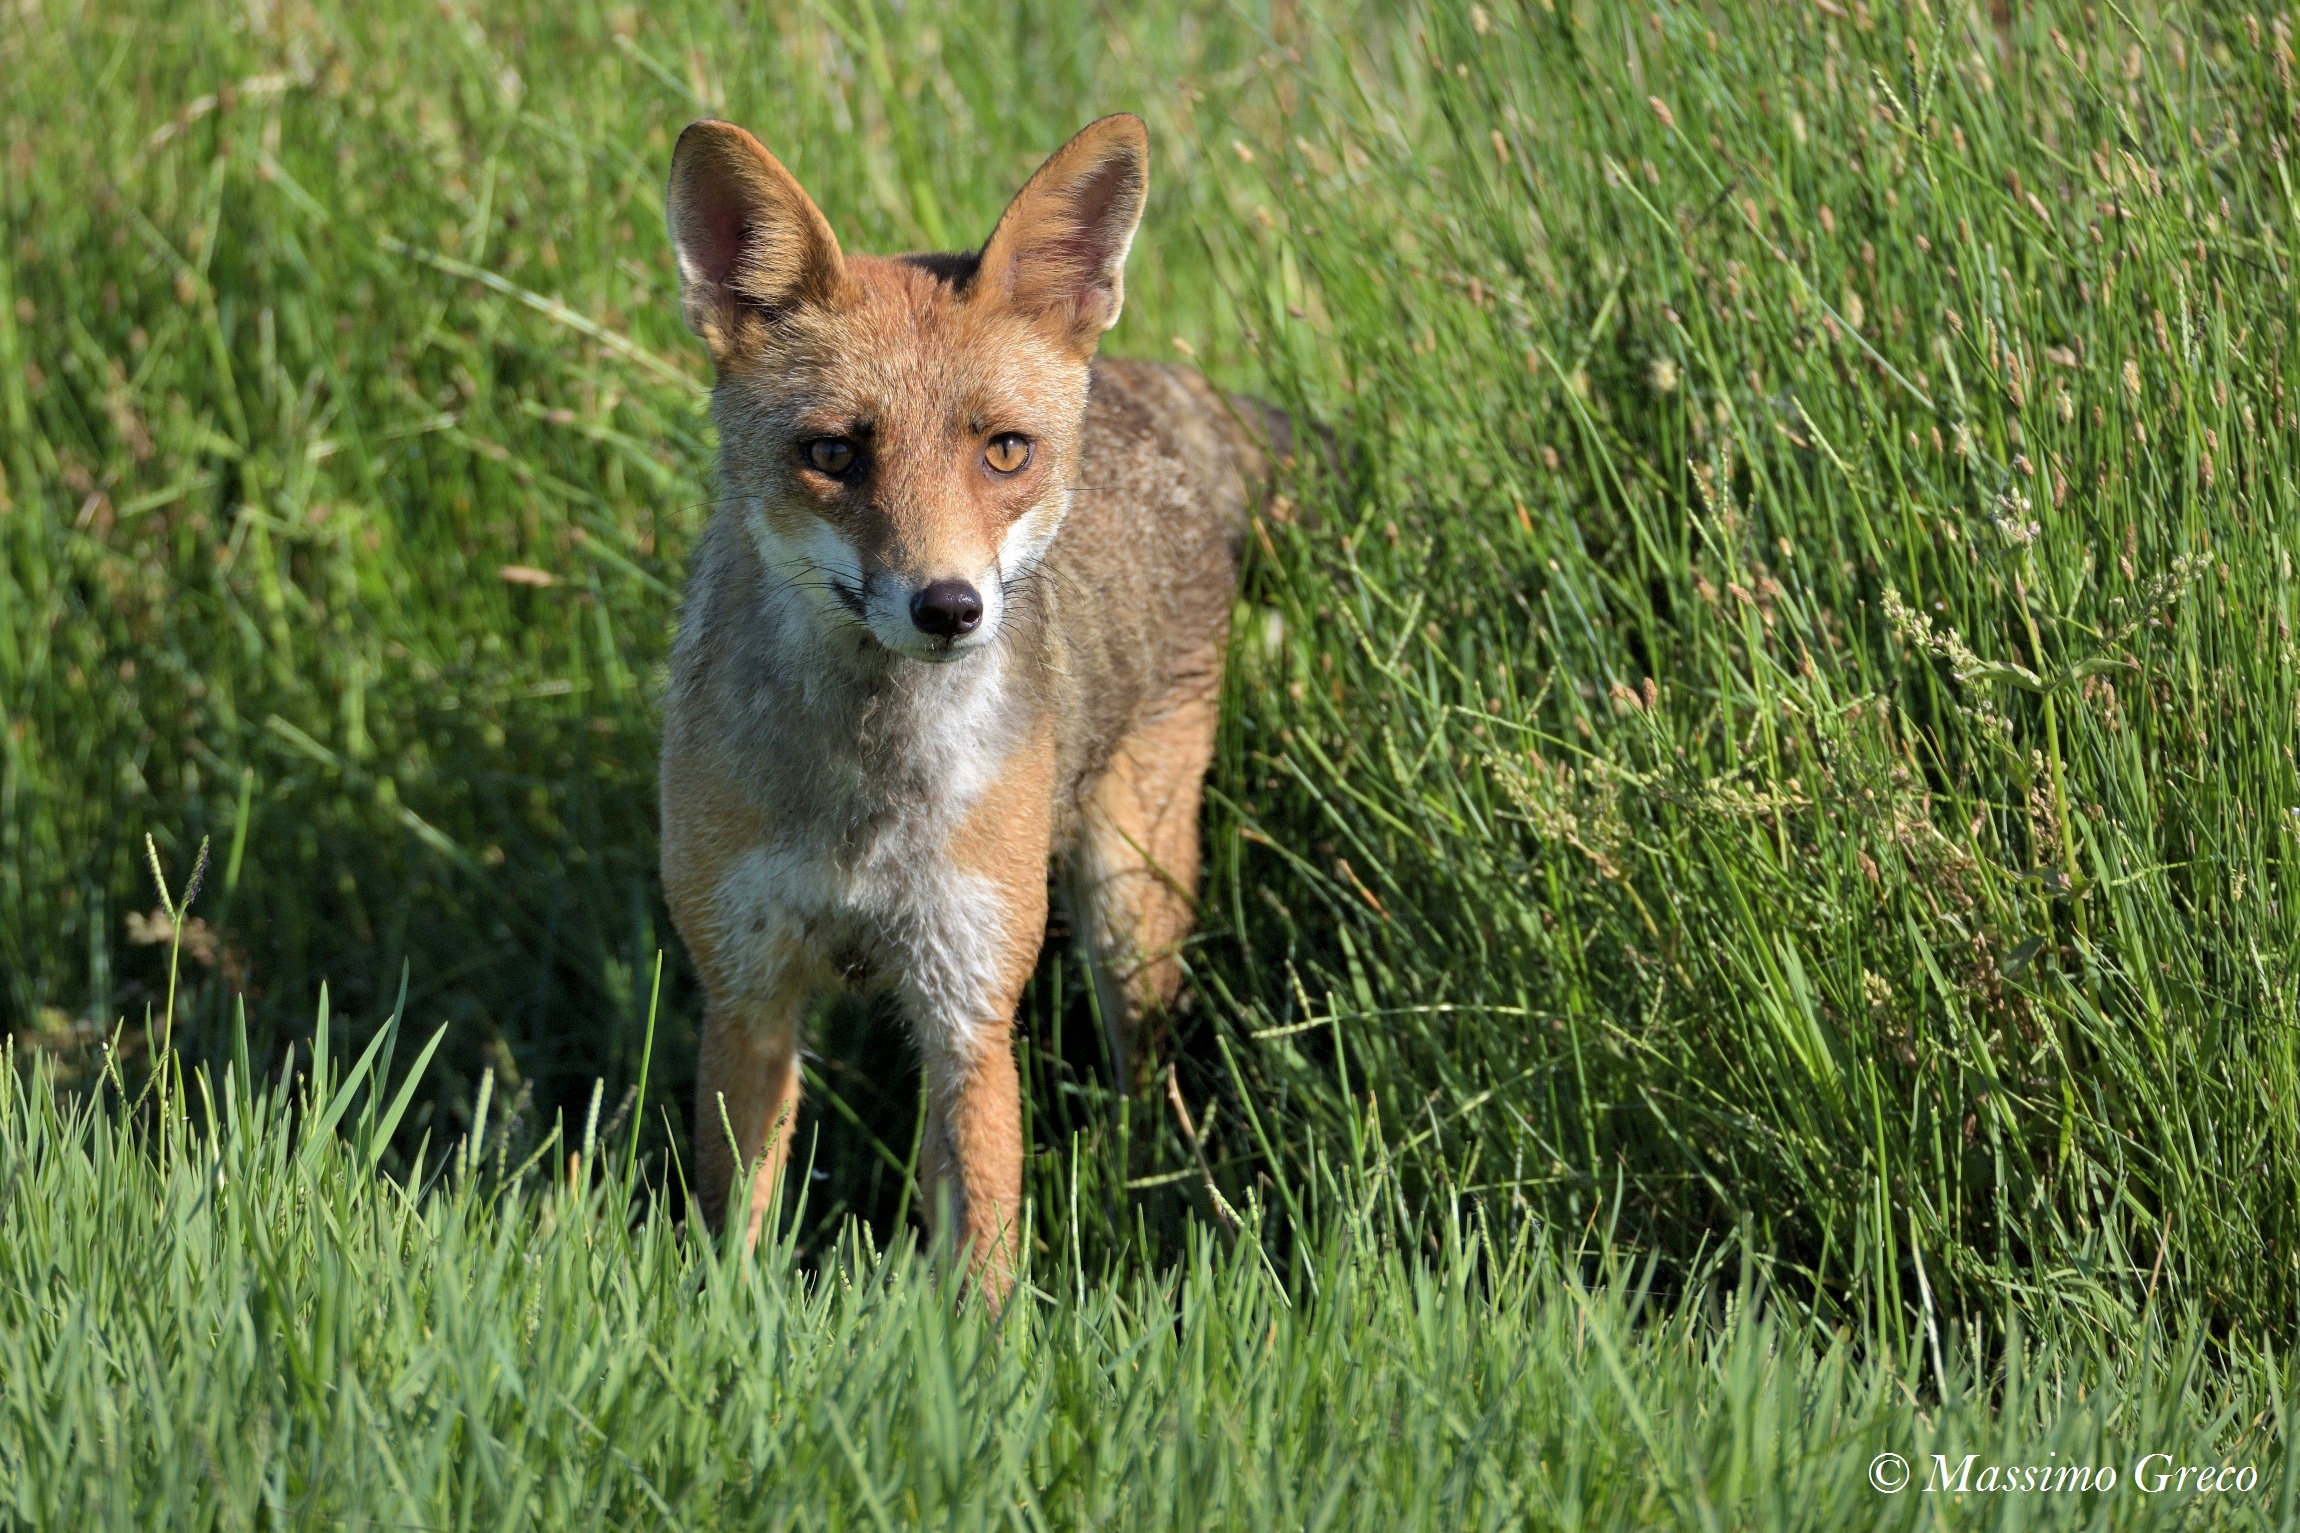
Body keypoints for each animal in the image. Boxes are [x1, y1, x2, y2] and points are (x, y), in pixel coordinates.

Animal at [658, 113, 1275, 1297]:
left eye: (1003, 452)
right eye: (831, 452)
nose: (948, 606)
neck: (865, 800)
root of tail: (1152, 386)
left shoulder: (969, 1007)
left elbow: (982, 1267)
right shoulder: (746, 997)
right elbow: (731, 1230)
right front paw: (721, 1322)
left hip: (1130, 909)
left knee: (1140, 1081)